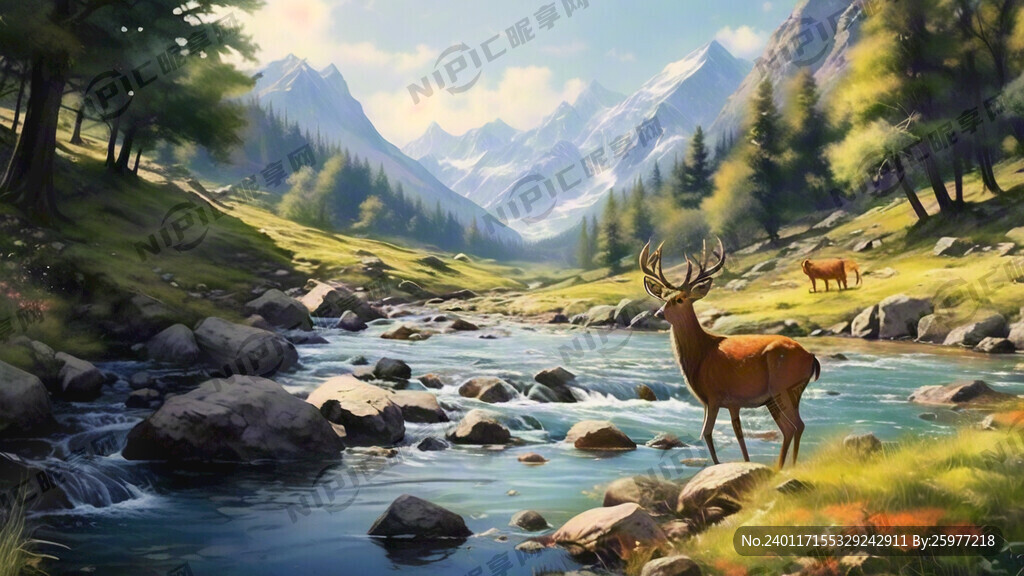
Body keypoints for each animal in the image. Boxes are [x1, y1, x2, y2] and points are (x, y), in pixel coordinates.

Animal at [639, 239, 820, 469]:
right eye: (663, 296)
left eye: (680, 299)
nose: (659, 312)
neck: (700, 355)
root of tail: (811, 357)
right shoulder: (726, 402)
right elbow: (732, 433)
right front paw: (743, 462)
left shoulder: (716, 395)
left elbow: (710, 433)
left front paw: (719, 464)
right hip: (789, 393)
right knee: (794, 427)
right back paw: (788, 465)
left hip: (782, 387)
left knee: (793, 426)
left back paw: (782, 467)